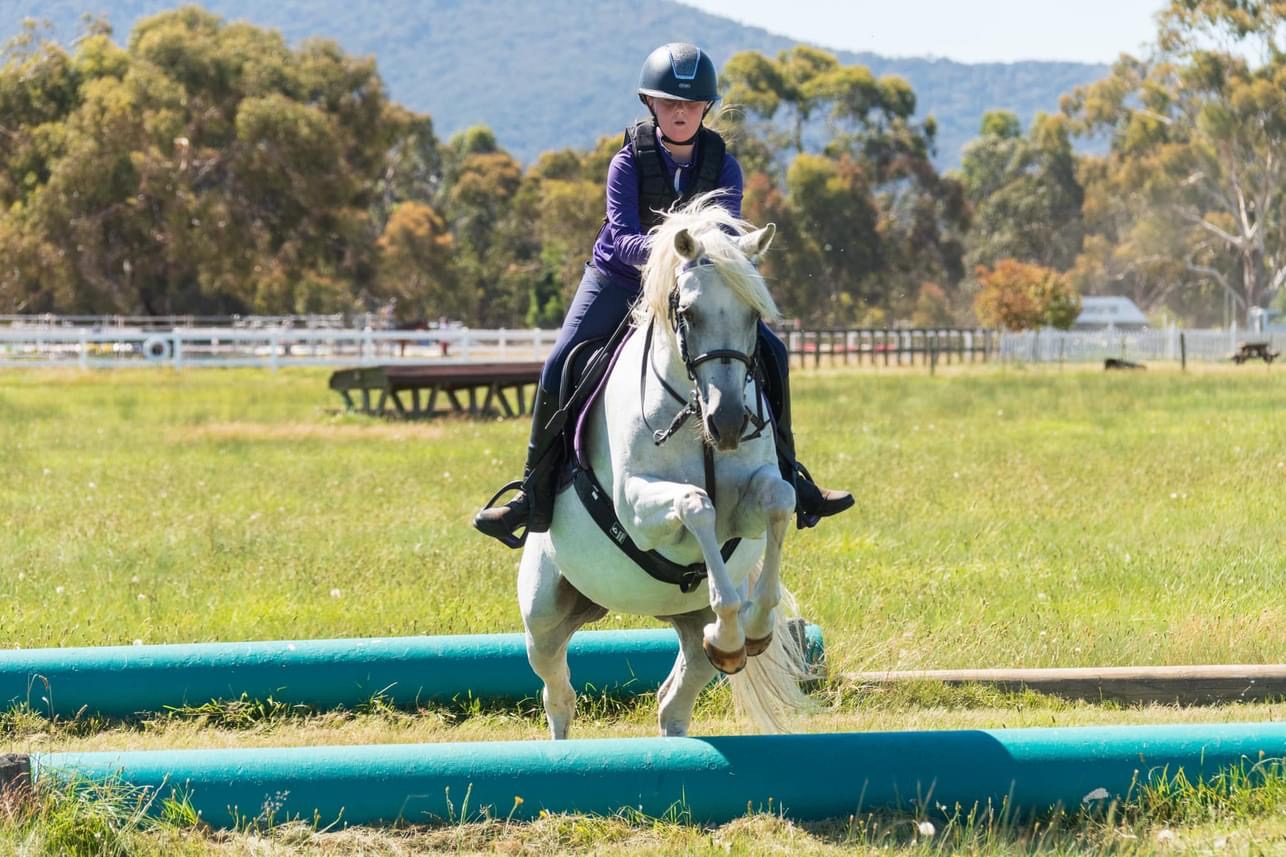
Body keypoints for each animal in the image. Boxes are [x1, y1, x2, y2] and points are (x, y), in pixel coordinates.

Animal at [518, 195, 813, 738]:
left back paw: (720, 649)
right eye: (688, 313)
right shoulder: (638, 508)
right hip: (543, 617)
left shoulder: (749, 503)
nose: (729, 423)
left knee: (675, 697)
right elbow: (696, 505)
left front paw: (751, 629)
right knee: (558, 694)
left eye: (753, 314)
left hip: (687, 630)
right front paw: (736, 621)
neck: (694, 415)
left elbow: (779, 501)